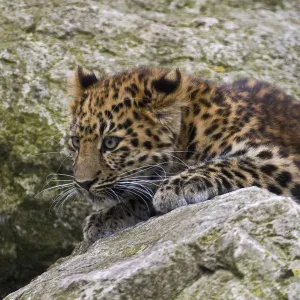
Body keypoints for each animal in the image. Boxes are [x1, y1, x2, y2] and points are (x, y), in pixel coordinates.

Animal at [68, 65, 300, 241]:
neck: (189, 130)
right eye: (75, 142)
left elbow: (231, 163)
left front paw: (178, 185)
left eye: (110, 143)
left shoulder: (280, 160)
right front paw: (105, 217)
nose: (83, 184)